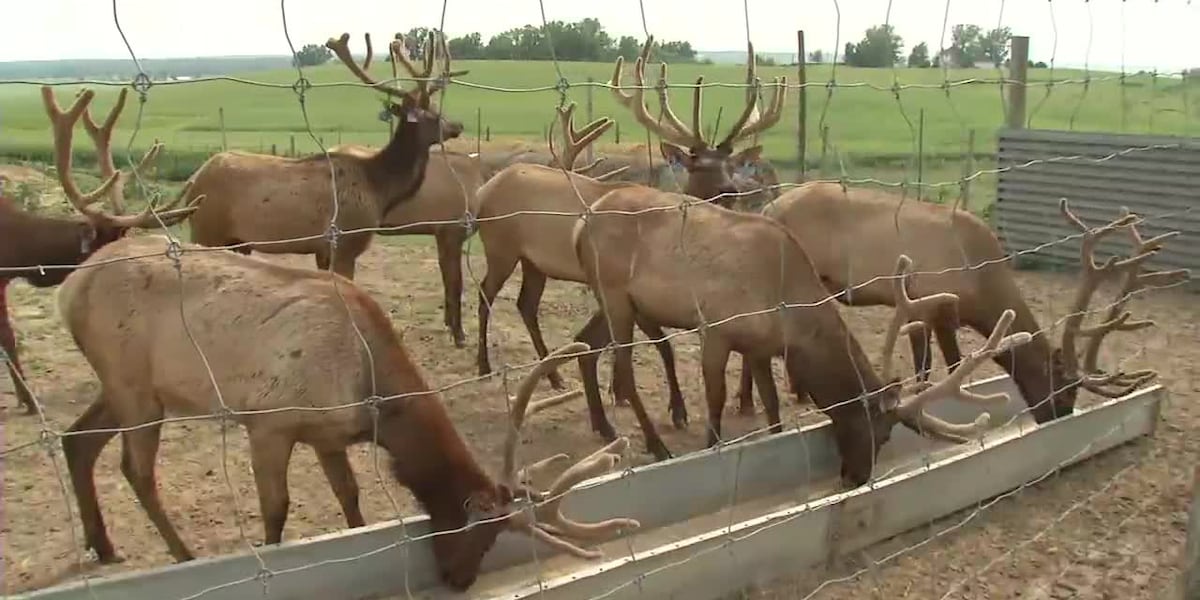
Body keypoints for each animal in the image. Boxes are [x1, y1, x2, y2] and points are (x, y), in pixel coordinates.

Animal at [56, 230, 638, 590]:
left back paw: (102, 544)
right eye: (476, 531)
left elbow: (350, 501)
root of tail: (69, 285)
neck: (371, 394)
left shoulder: (327, 435)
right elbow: (276, 510)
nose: (460, 581)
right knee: (135, 469)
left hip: (126, 387)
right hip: (134, 387)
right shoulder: (270, 422)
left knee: (76, 440)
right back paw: (182, 555)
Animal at [184, 30, 465, 278]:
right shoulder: (346, 241)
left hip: (236, 242)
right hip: (206, 232)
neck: (379, 188)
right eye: (431, 114)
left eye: (438, 107)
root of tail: (193, 181)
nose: (458, 126)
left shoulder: (322, 250)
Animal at [470, 102, 696, 436]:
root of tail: (483, 190)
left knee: (526, 304)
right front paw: (628, 395)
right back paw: (484, 367)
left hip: (533, 262)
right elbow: (652, 343)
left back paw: (553, 375)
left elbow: (658, 344)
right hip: (501, 249)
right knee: (485, 294)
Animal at [748, 181, 1190, 422]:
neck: (982, 289)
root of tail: (769, 205)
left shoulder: (932, 312)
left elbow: (938, 366)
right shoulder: (932, 304)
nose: (1056, 418)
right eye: (1062, 391)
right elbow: (940, 367)